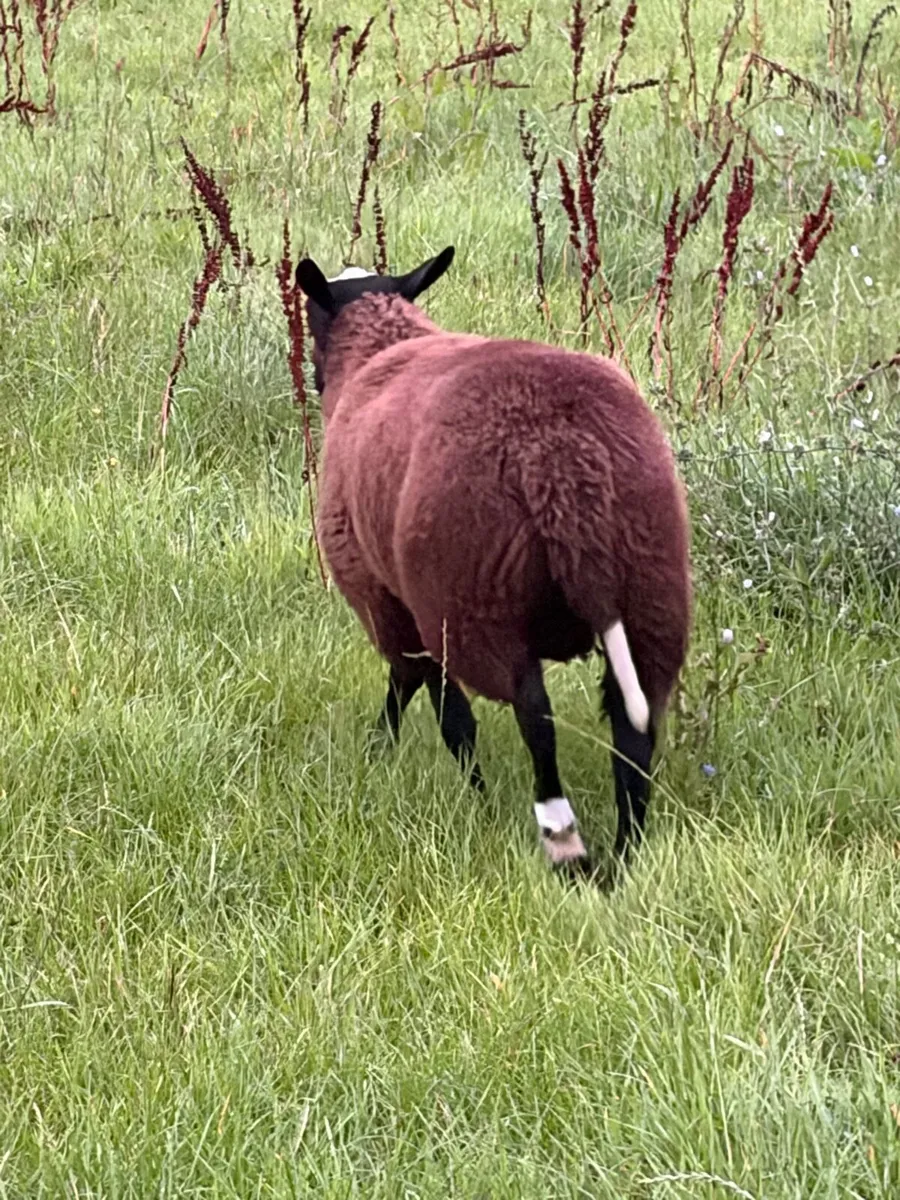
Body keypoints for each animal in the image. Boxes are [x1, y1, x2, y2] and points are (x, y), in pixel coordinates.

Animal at [294, 246, 692, 876]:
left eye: (311, 318)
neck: (379, 348)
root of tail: (560, 459)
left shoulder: (388, 595)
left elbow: (424, 693)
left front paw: (393, 756)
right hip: (652, 592)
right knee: (634, 727)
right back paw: (628, 852)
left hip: (474, 599)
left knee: (533, 714)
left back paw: (561, 837)